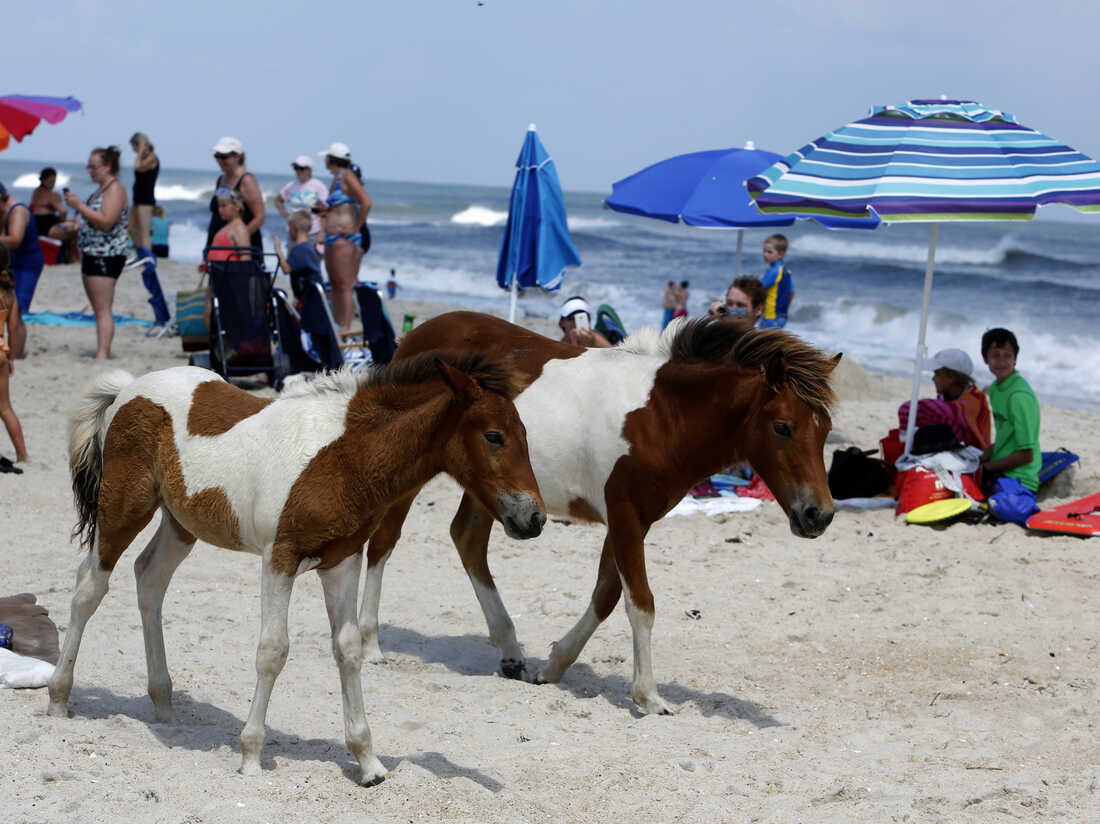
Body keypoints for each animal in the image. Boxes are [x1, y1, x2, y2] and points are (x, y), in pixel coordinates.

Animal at [48, 354, 545, 783]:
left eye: (525, 433)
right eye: (494, 436)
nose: (534, 518)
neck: (344, 456)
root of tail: (128, 388)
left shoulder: (343, 560)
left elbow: (347, 650)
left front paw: (368, 763)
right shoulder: (279, 559)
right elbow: (273, 651)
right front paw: (251, 756)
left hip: (181, 524)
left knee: (149, 578)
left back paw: (164, 707)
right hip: (123, 509)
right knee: (89, 587)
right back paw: (58, 698)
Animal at [356, 308, 836, 712]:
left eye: (825, 428)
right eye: (782, 427)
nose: (821, 514)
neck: (663, 416)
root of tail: (415, 336)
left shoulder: (632, 519)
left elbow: (606, 594)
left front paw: (553, 666)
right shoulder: (625, 515)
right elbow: (640, 601)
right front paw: (648, 695)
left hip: (488, 488)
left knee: (467, 540)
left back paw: (511, 652)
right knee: (383, 542)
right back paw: (371, 645)